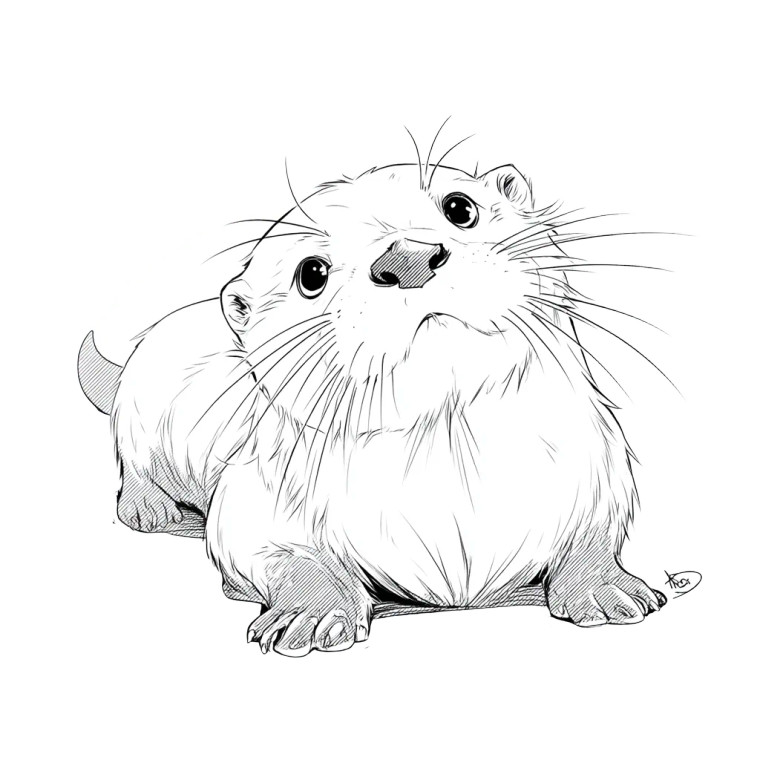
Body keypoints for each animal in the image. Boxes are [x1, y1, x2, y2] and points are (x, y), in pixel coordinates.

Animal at [78, 158, 666, 656]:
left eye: (460, 207)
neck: (454, 496)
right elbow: (279, 554)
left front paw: (606, 587)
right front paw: (315, 613)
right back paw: (148, 507)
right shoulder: (254, 498)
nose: (407, 258)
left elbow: (595, 532)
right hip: (140, 413)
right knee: (134, 462)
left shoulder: (600, 468)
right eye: (311, 273)